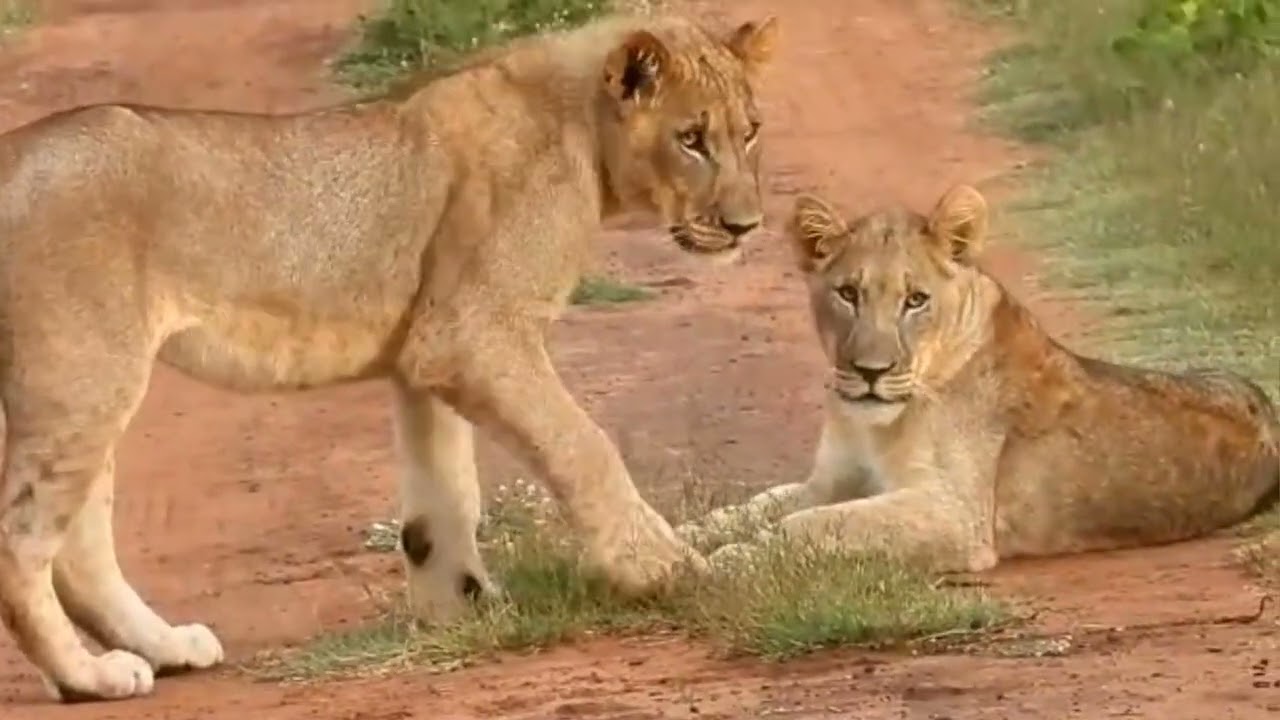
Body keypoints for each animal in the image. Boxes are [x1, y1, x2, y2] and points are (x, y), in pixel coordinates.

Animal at [0, 13, 779, 702]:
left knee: (80, 547)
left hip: (91, 386)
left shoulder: (426, 353)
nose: (746, 225)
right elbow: (585, 447)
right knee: (24, 544)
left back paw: (164, 650)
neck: (583, 131)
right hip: (81, 375)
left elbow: (444, 497)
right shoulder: (476, 332)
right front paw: (665, 569)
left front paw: (460, 609)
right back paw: (88, 678)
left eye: (749, 133)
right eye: (691, 139)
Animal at [678, 185, 1279, 576]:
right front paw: (687, 536)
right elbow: (756, 506)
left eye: (915, 300)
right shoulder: (830, 479)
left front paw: (734, 557)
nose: (871, 373)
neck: (876, 424)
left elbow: (815, 525)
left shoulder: (953, 513)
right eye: (847, 294)